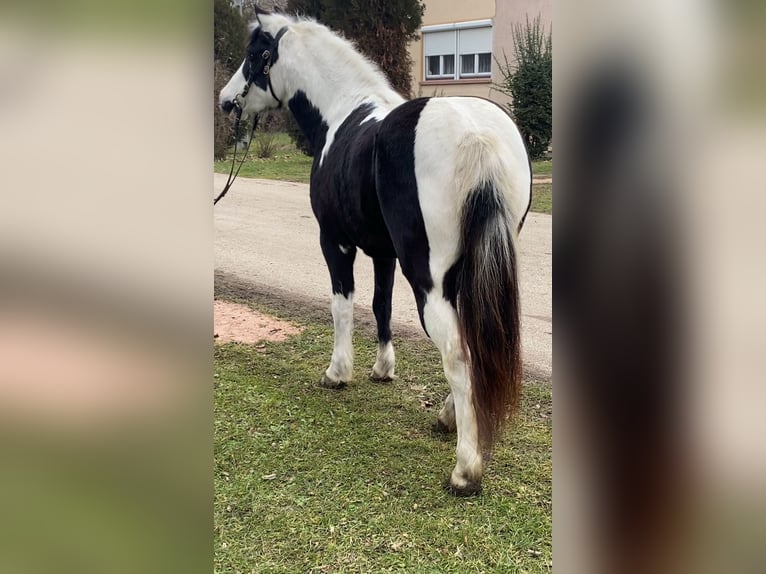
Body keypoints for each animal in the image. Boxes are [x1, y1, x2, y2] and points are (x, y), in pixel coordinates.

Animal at [220, 12, 536, 500]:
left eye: (256, 54)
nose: (226, 102)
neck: (342, 112)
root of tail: (475, 134)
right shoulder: (383, 253)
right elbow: (381, 304)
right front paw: (383, 369)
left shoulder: (336, 243)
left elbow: (343, 306)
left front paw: (338, 373)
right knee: (469, 342)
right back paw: (448, 420)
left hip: (428, 279)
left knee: (457, 352)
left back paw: (465, 470)